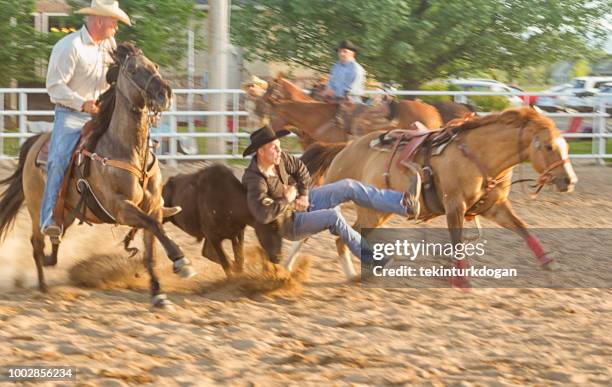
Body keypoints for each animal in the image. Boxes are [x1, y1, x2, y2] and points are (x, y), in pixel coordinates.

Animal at [0, 42, 191, 310]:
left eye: (155, 65)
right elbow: (155, 228)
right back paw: (43, 287)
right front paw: (180, 261)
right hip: (37, 208)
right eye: (132, 70)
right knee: (36, 243)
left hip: (66, 212)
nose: (165, 93)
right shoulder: (121, 207)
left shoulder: (152, 208)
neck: (128, 151)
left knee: (54, 242)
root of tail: (34, 142)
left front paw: (158, 294)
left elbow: (151, 248)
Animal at [284, 107, 576, 288]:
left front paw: (548, 262)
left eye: (566, 145)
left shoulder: (495, 207)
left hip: (374, 210)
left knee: (344, 234)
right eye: (548, 146)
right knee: (323, 230)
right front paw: (461, 280)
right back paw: (293, 267)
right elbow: (457, 241)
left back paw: (351, 273)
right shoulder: (454, 205)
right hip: (359, 205)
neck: (478, 155)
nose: (569, 180)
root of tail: (345, 147)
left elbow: (522, 227)